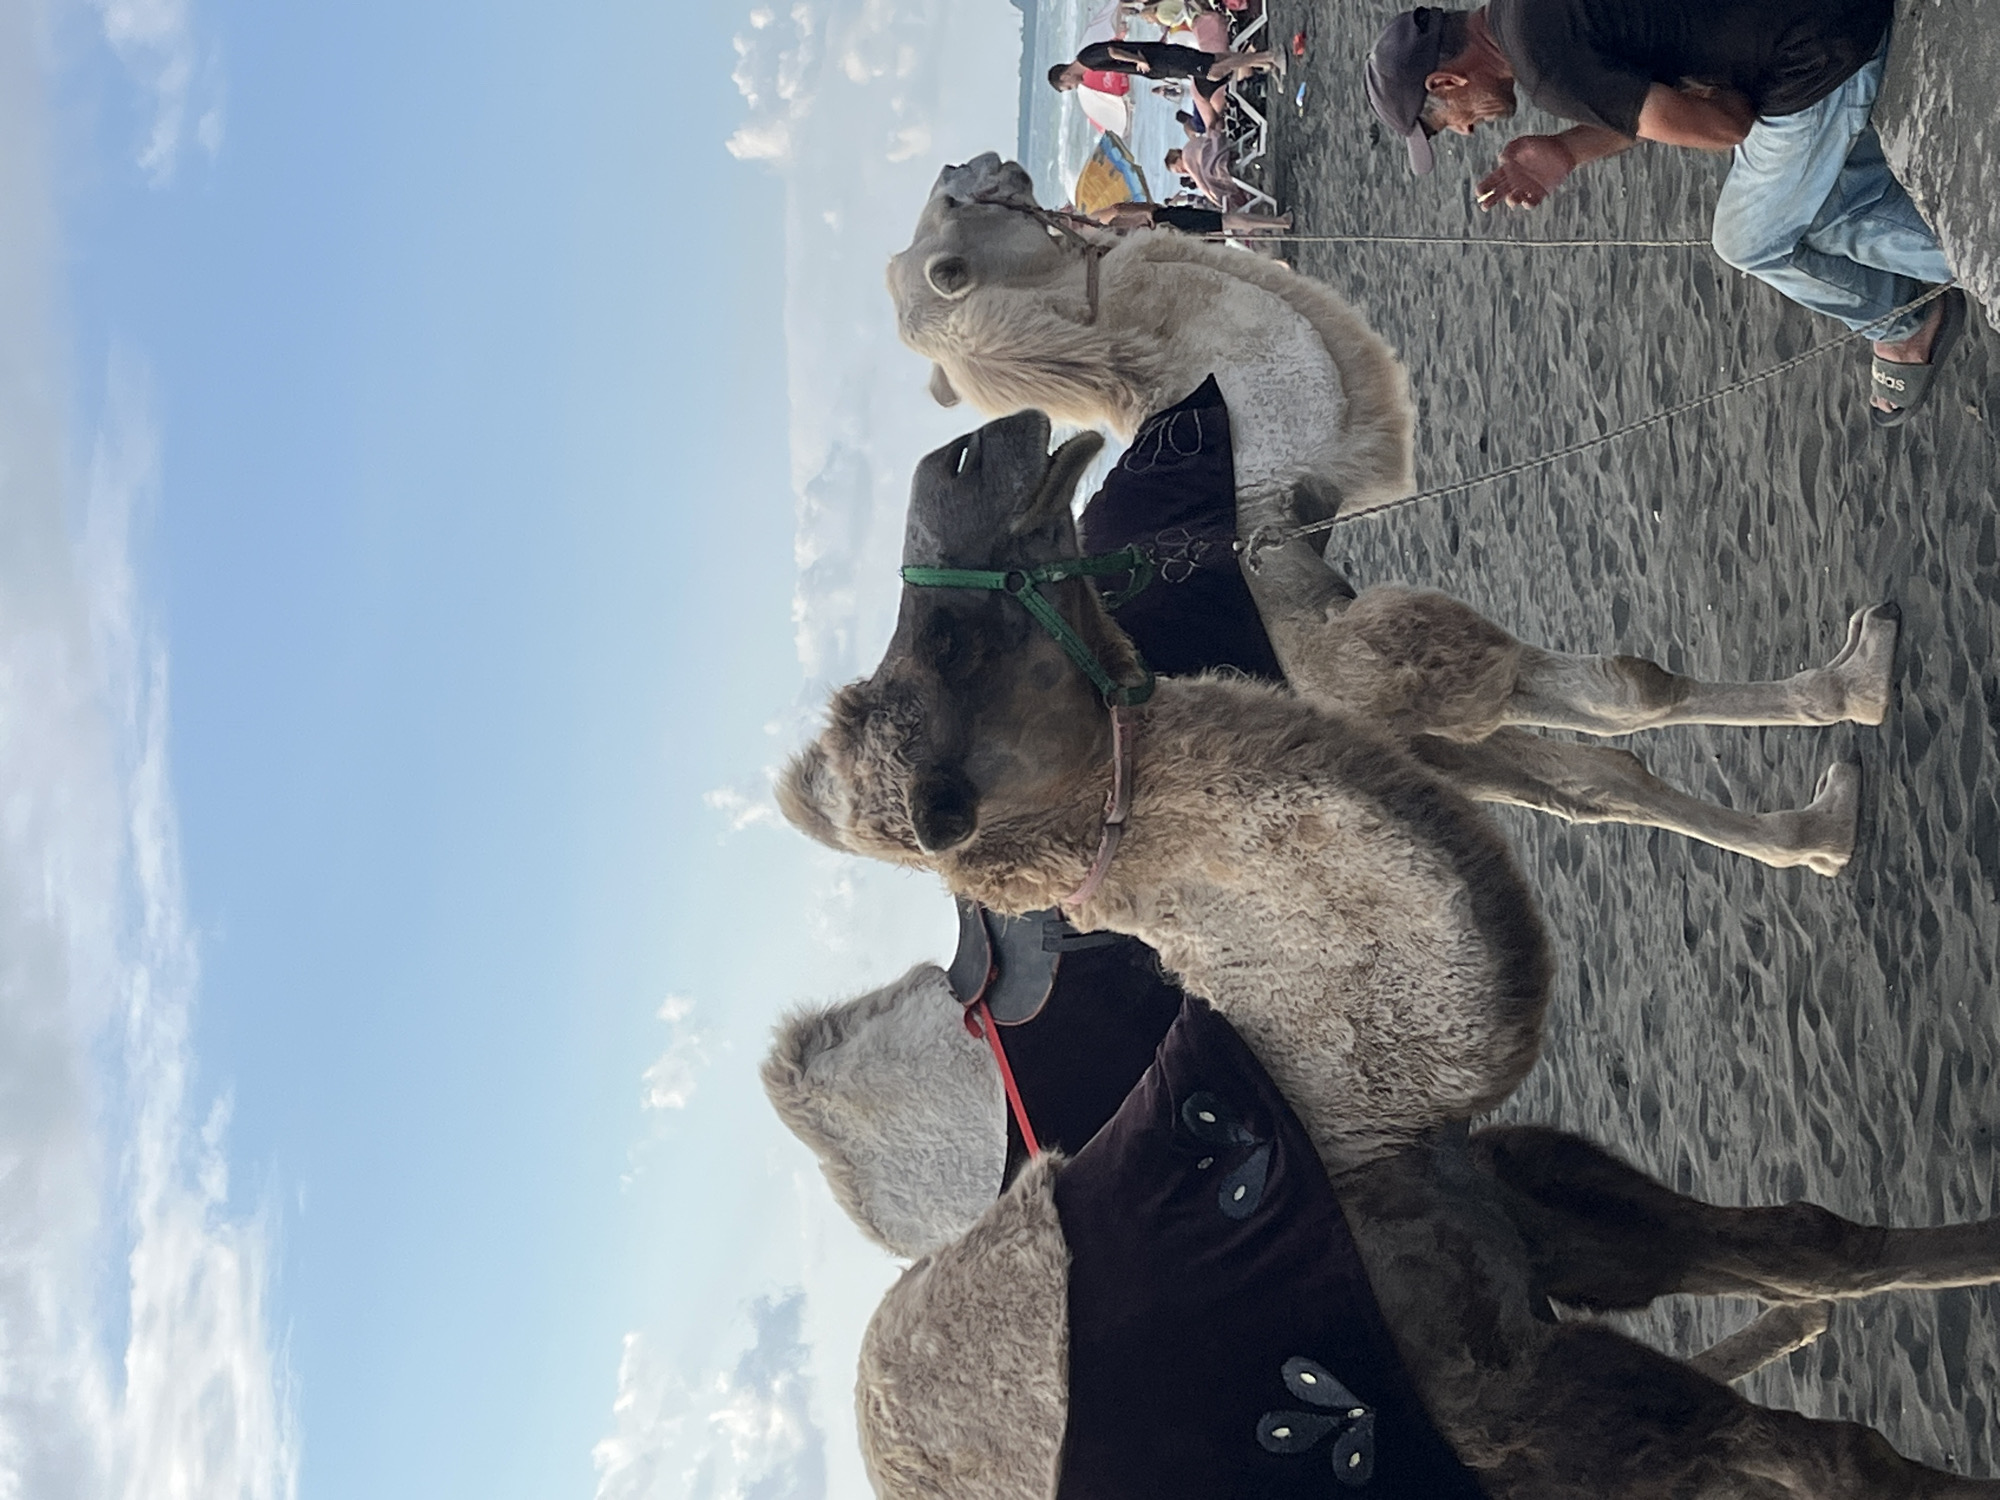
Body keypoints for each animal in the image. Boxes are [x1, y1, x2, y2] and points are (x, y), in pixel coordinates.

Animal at [776, 410, 2000, 1498]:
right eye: (944, 650)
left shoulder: (1522, 1200)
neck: (1334, 1125)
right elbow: (1843, 1459)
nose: (969, 449)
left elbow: (1817, 1239)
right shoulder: (1531, 1404)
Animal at [888, 153, 1900, 876]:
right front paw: (1861, 685)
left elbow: (1610, 756)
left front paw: (1840, 749)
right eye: (953, 219)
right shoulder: (1405, 665)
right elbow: (1630, 694)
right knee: (1599, 770)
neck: (1249, 503)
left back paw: (1818, 827)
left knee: (1596, 789)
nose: (971, 161)